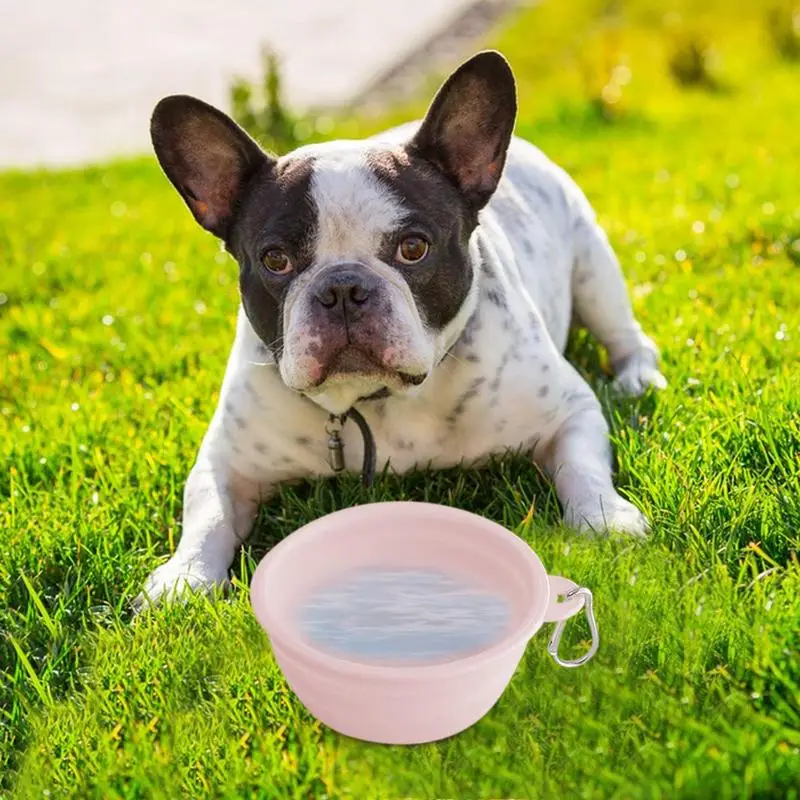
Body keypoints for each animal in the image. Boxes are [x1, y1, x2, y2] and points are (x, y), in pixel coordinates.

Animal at [136, 51, 664, 608]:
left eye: (414, 248)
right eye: (275, 260)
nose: (343, 288)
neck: (376, 401)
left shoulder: (570, 412)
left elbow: (582, 467)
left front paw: (605, 520)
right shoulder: (226, 460)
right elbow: (207, 512)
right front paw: (183, 576)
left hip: (595, 271)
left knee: (628, 337)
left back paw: (636, 379)